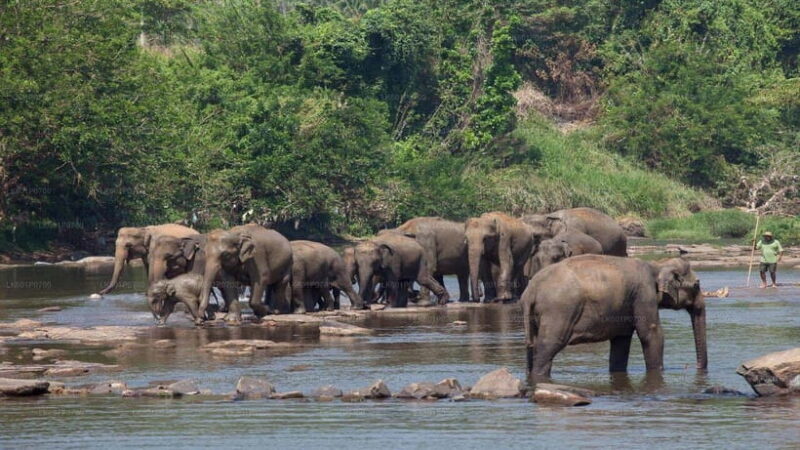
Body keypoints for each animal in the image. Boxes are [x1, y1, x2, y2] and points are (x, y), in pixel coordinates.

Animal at [521, 255, 707, 380]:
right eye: (697, 285)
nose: (696, 368)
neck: (656, 264)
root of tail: (532, 290)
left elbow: (621, 341)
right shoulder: (644, 293)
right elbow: (651, 333)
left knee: (532, 346)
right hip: (559, 311)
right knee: (548, 346)